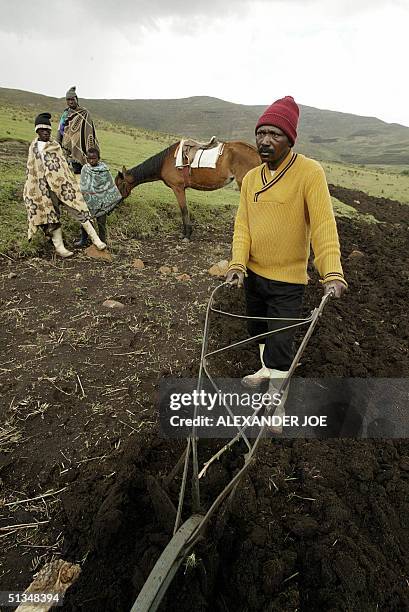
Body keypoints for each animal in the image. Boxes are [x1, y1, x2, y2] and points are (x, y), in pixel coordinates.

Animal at [116, 141, 260, 239]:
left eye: (120, 185)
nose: (117, 204)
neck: (165, 161)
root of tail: (256, 151)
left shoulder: (178, 188)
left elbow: (184, 210)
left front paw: (187, 234)